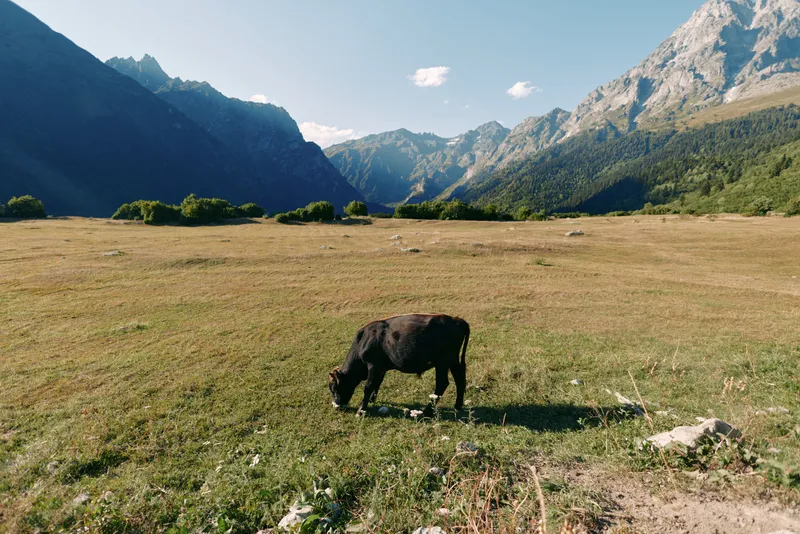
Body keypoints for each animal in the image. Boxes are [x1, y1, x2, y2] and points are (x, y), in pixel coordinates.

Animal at [328, 313, 470, 416]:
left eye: (335, 389)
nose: (336, 406)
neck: (364, 340)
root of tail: (456, 320)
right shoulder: (381, 368)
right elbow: (377, 383)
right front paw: (371, 399)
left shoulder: (373, 366)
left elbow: (368, 386)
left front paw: (361, 409)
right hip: (452, 361)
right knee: (459, 379)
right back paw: (457, 406)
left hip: (442, 363)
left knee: (442, 383)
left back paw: (427, 411)